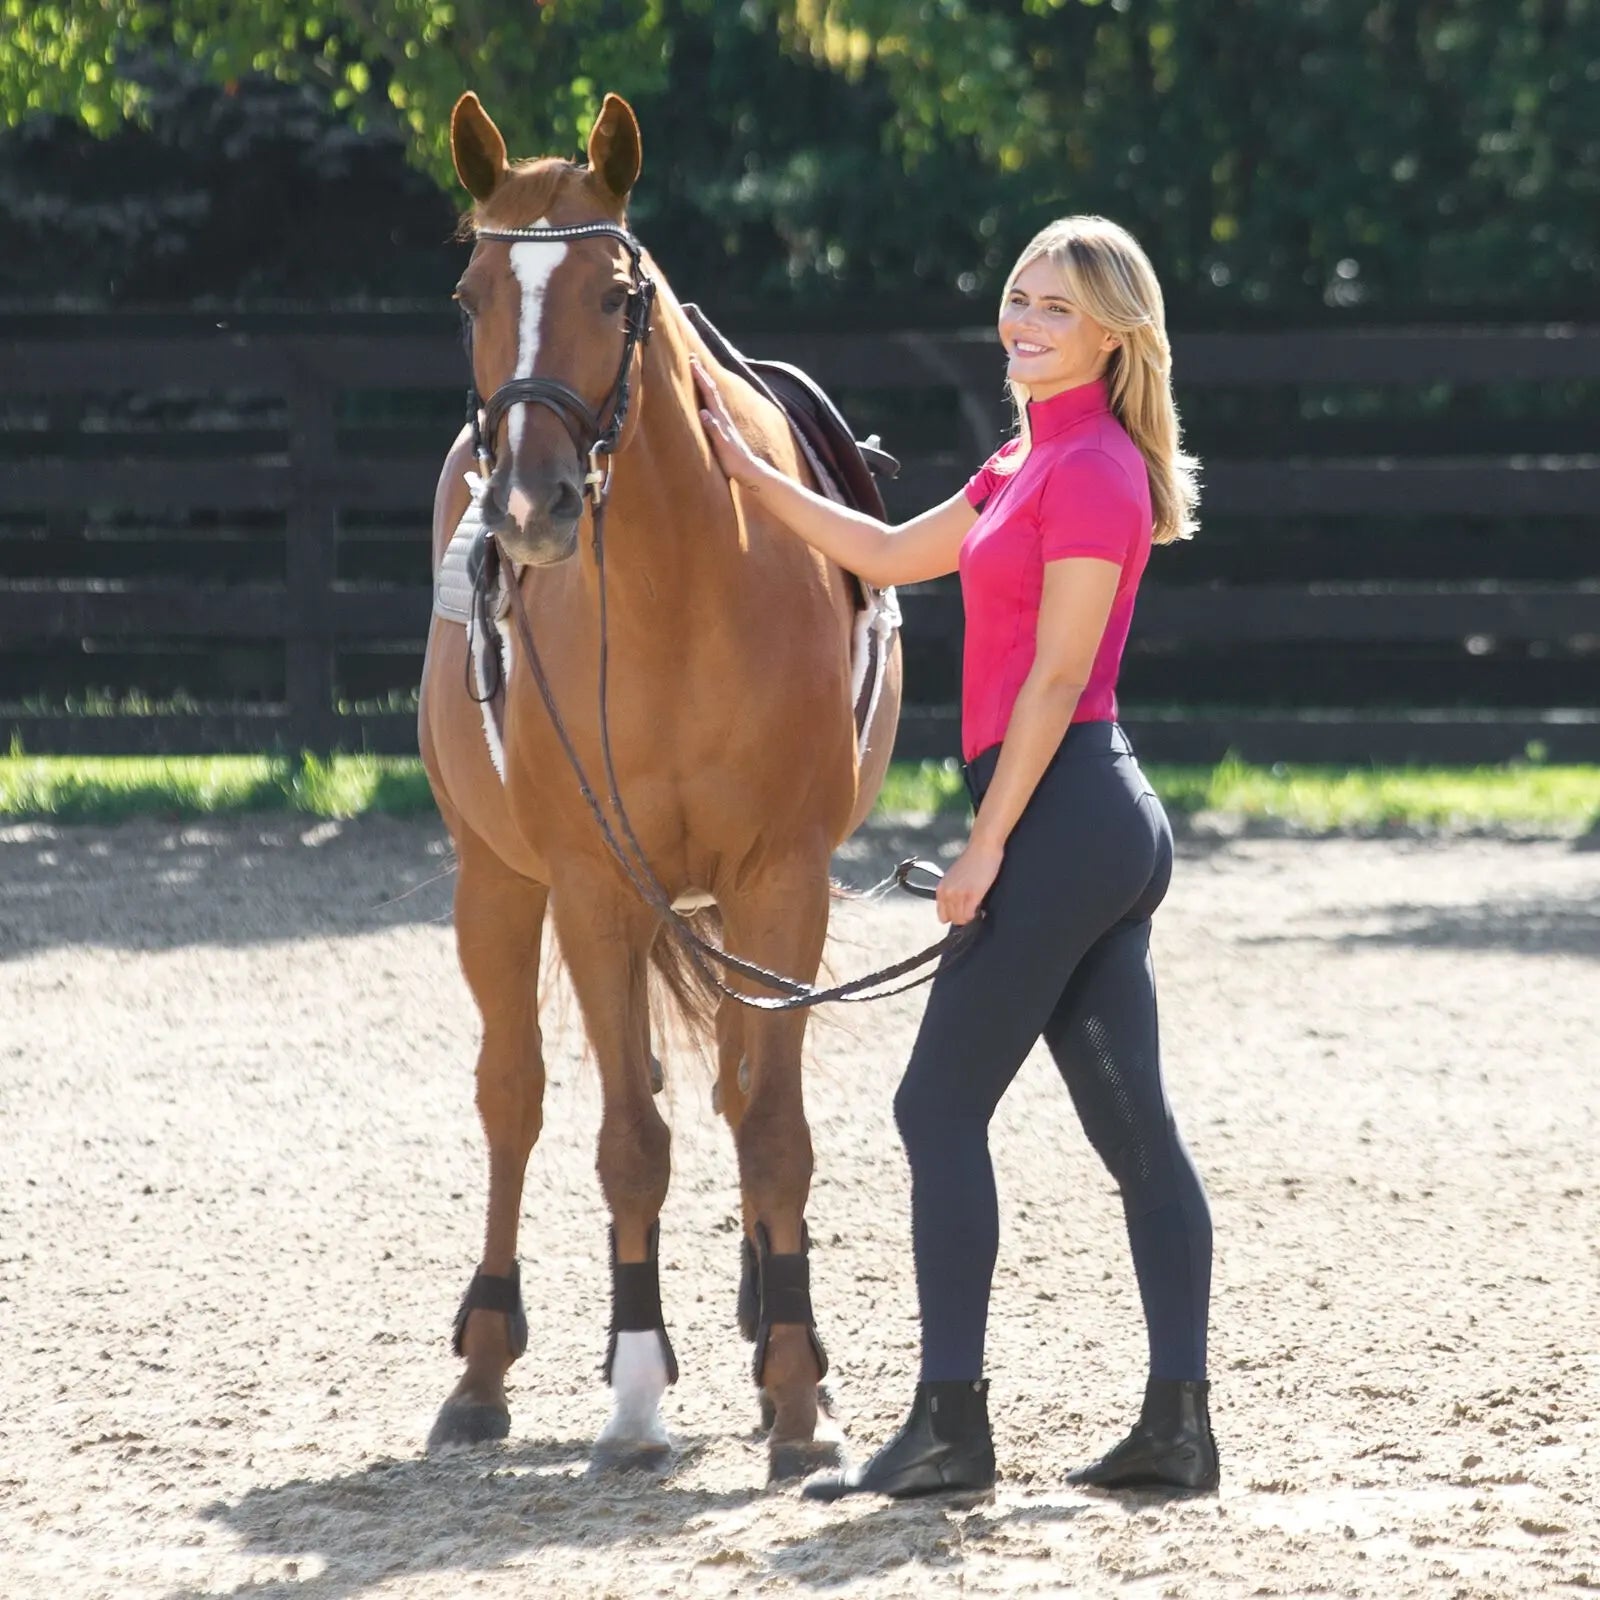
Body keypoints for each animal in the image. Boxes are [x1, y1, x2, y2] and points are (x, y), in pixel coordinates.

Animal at [416, 90, 903, 1479]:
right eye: (470, 295)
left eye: (617, 292)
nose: (528, 507)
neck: (682, 590)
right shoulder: (592, 889)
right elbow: (628, 1139)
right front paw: (635, 1389)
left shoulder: (784, 882)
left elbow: (773, 1125)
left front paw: (797, 1389)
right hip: (494, 883)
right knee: (514, 1098)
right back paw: (484, 1365)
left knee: (739, 1086)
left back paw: (765, 1318)